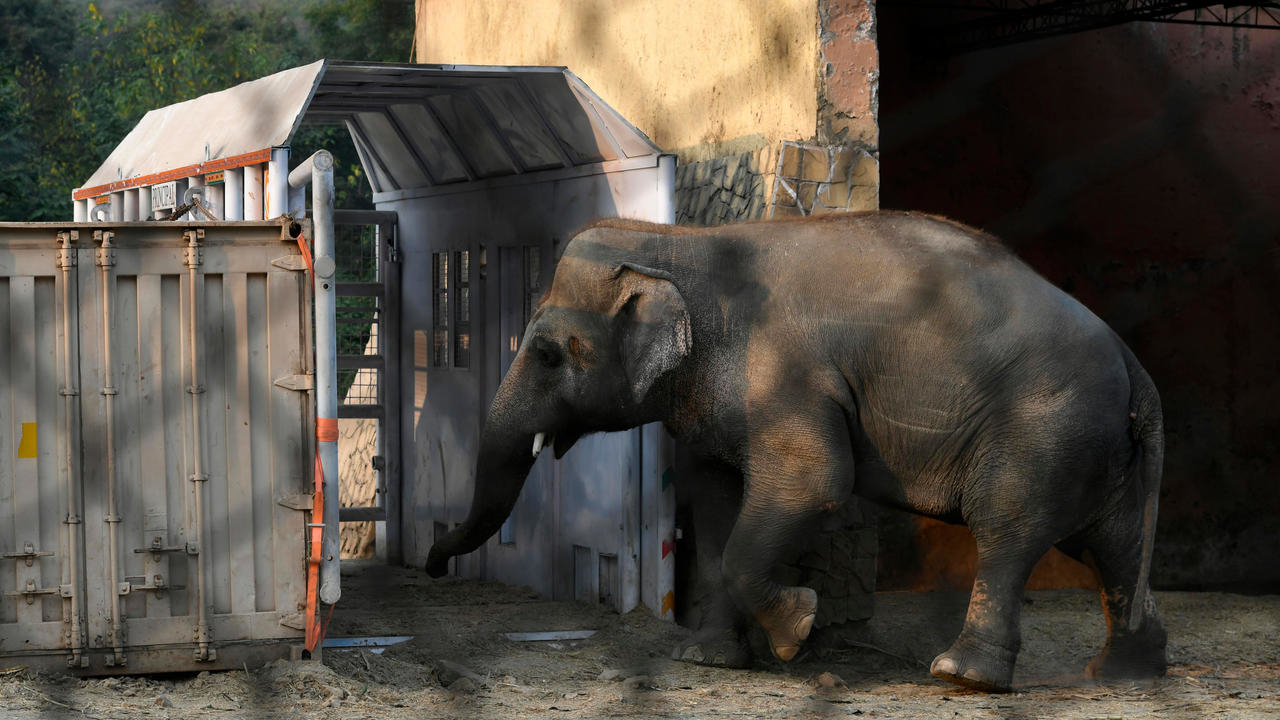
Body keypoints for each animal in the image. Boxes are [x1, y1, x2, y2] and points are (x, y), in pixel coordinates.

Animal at [424, 211, 1167, 691]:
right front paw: (709, 662)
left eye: (548, 354)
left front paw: (796, 630)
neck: (683, 246)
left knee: (1010, 530)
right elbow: (715, 500)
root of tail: (1135, 364)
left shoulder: (784, 369)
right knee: (1114, 545)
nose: (431, 562)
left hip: (1044, 426)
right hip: (1098, 446)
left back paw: (963, 677)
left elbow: (813, 483)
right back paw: (1127, 673)